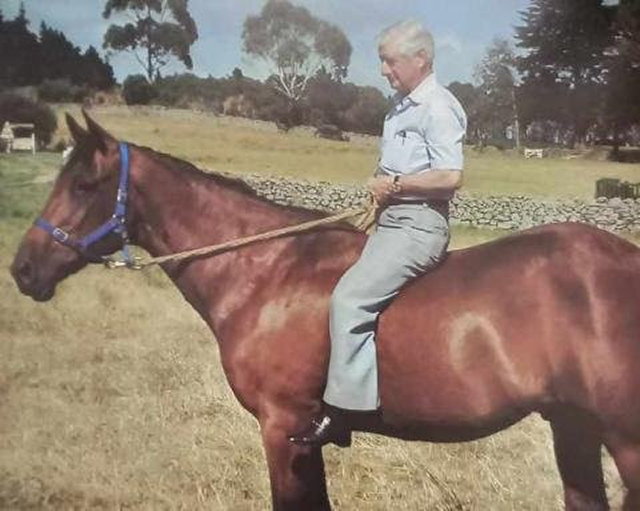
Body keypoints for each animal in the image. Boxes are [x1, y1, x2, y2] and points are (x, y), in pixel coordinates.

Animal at [10, 112, 640, 510]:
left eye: (84, 184)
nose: (23, 270)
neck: (267, 270)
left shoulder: (283, 428)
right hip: (573, 426)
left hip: (623, 439)